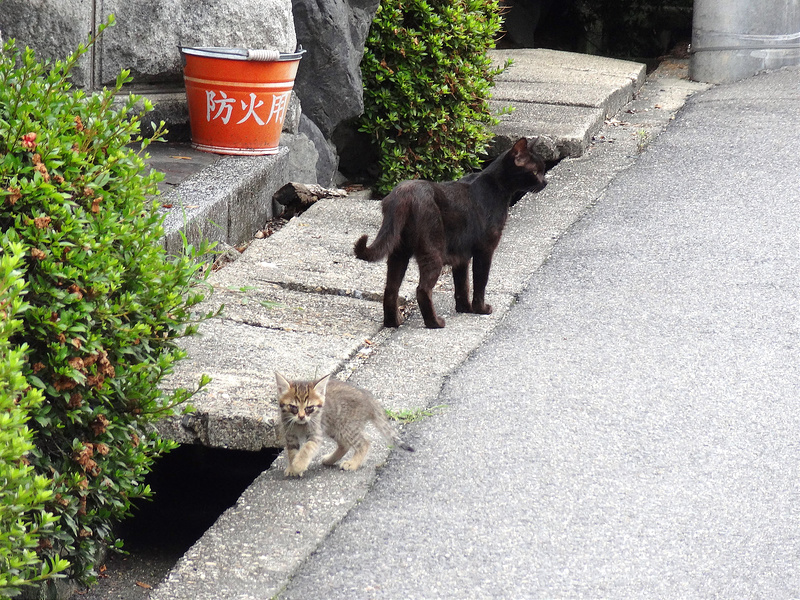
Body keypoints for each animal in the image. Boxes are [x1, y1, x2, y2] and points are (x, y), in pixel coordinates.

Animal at [276, 370, 412, 478]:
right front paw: (292, 467)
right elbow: (292, 452)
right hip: (334, 427)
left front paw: (298, 465)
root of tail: (367, 397)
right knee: (345, 444)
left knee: (364, 442)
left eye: (309, 408)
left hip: (346, 427)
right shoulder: (290, 435)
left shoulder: (316, 432)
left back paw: (353, 463)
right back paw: (330, 460)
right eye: (293, 407)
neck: (300, 425)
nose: (301, 416)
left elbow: (307, 448)